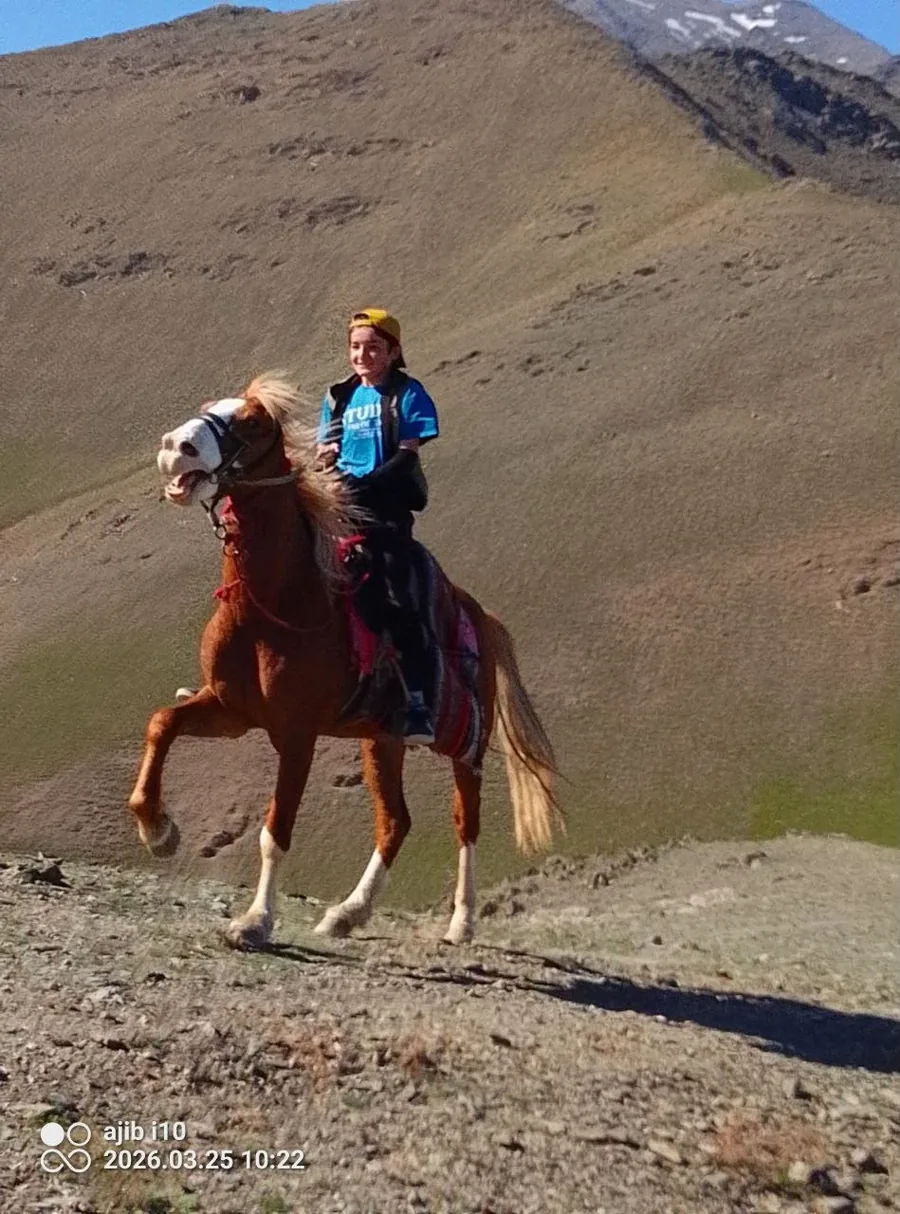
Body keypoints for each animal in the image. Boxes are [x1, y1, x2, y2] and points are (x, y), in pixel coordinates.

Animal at [128, 374, 561, 948]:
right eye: (207, 408)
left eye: (253, 422)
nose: (176, 448)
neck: (273, 607)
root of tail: (482, 617)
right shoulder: (231, 711)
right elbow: (161, 724)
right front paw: (159, 830)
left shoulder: (296, 734)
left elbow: (275, 829)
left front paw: (254, 921)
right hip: (382, 740)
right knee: (395, 821)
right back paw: (347, 913)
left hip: (464, 743)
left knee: (464, 819)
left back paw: (461, 923)